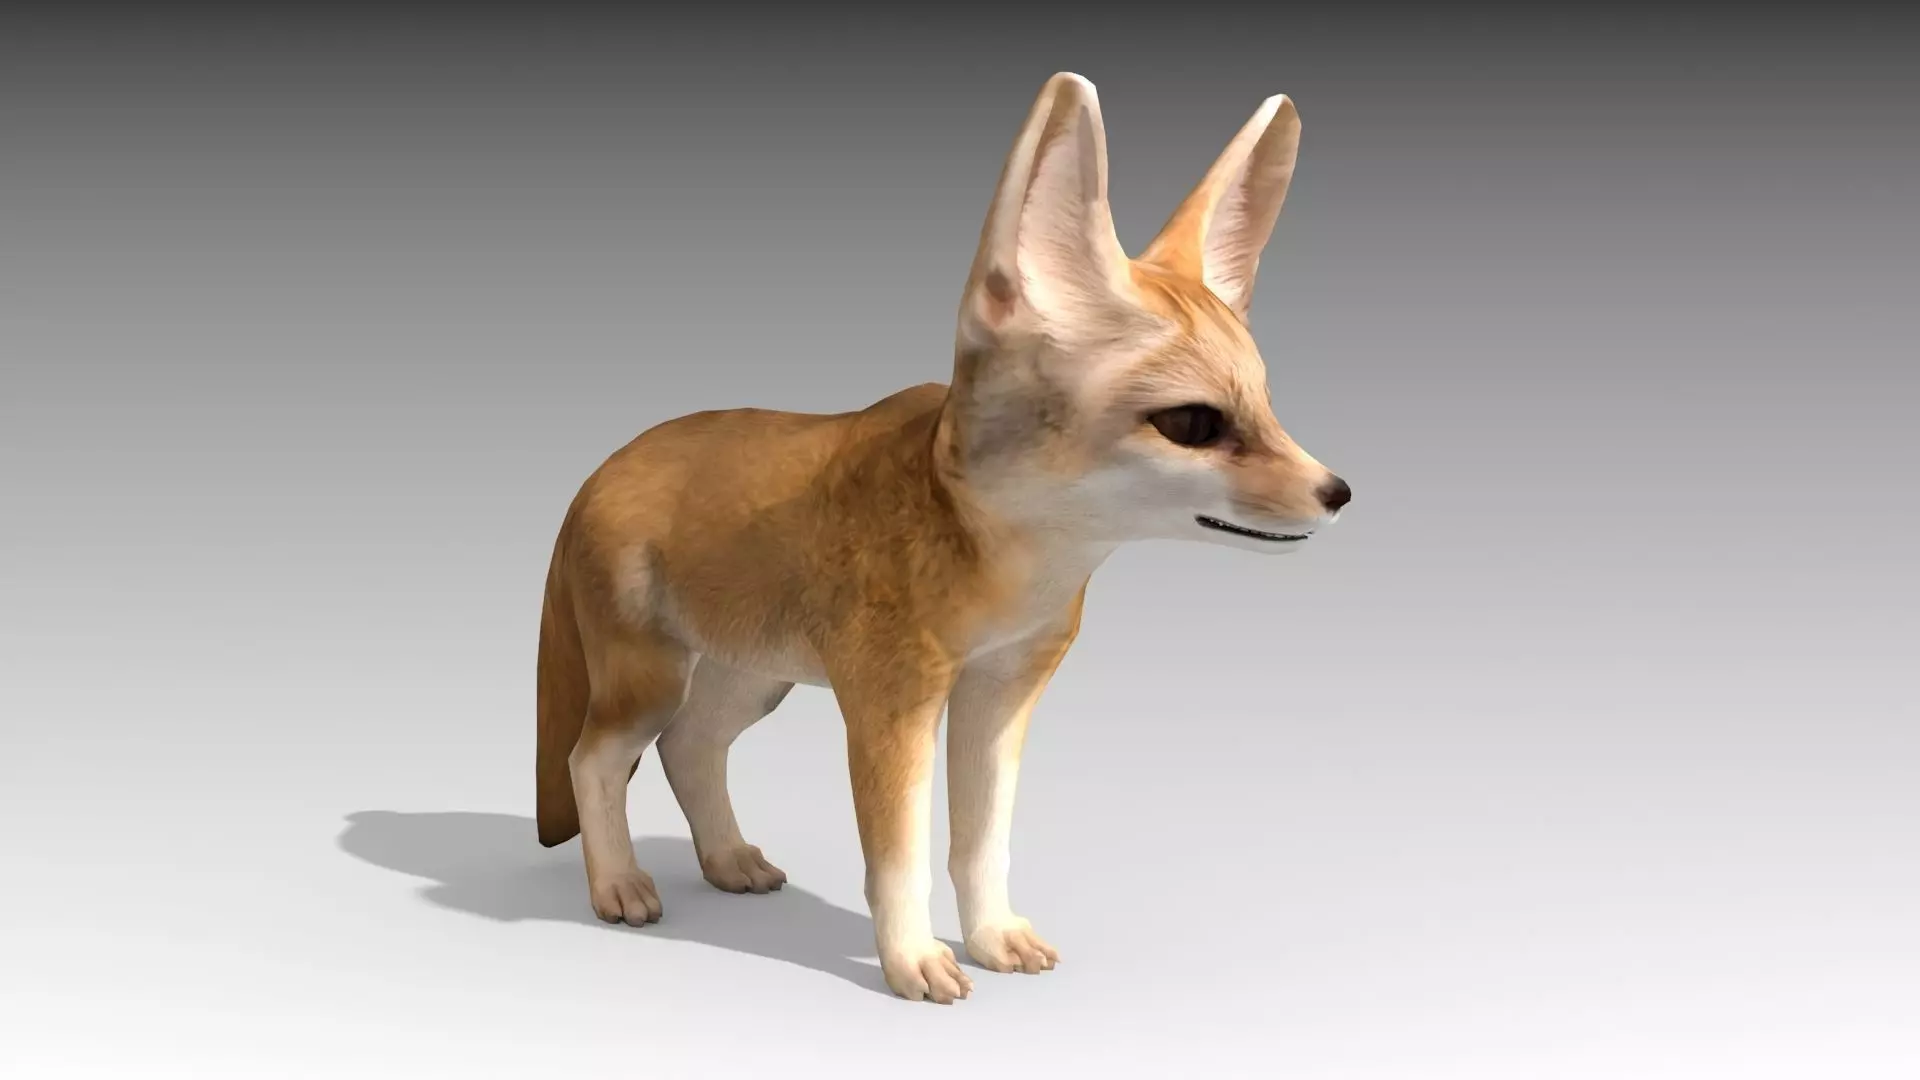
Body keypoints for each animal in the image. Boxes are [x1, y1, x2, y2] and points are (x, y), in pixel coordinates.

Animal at [534, 71, 1352, 1004]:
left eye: (1268, 407)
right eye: (1192, 424)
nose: (1338, 494)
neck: (1000, 566)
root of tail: (607, 464)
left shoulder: (1003, 691)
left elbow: (981, 843)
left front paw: (993, 937)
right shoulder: (892, 703)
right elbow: (901, 858)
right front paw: (912, 960)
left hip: (752, 681)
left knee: (690, 748)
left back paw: (728, 859)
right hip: (653, 681)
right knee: (593, 759)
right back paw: (617, 884)